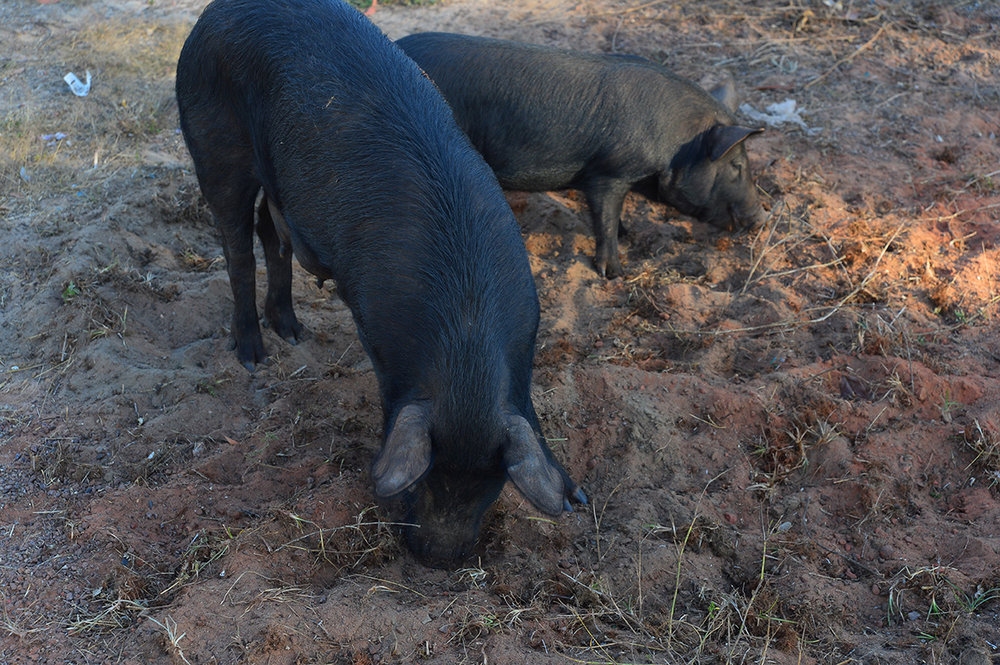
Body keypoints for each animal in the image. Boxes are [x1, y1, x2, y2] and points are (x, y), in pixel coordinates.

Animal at [176, 0, 584, 564]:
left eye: (490, 486)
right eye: (423, 481)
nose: (437, 559)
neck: (465, 329)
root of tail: (210, 15)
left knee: (271, 238)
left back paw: (294, 333)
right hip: (214, 144)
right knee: (236, 248)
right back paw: (254, 357)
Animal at [396, 33, 764, 278]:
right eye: (736, 165)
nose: (761, 217)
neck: (676, 143)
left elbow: (614, 217)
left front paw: (628, 235)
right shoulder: (608, 173)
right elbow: (604, 220)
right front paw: (614, 274)